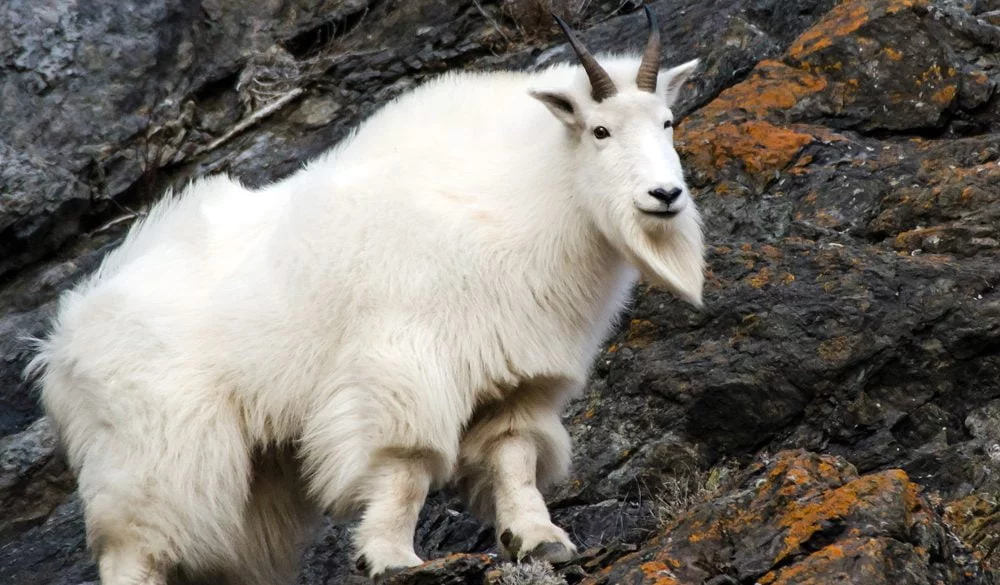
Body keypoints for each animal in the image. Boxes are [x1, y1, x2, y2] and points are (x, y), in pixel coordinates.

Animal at [28, 8, 704, 584]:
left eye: (667, 122)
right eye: (599, 130)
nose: (665, 196)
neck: (524, 195)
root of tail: (59, 346)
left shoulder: (517, 374)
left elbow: (513, 457)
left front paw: (539, 539)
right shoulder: (401, 364)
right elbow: (405, 466)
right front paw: (390, 557)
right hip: (151, 450)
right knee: (135, 543)